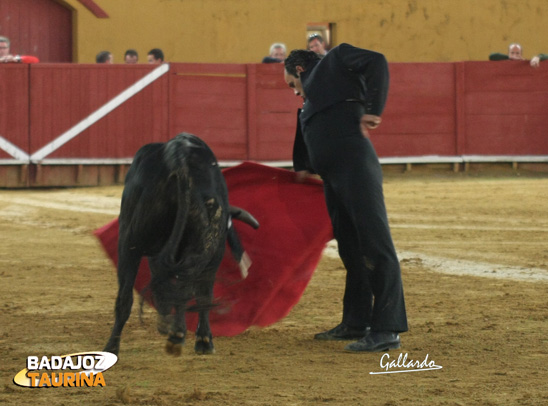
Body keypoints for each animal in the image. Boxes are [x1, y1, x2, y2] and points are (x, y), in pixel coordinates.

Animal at [104, 132, 260, 356]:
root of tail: (182, 160)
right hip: (204, 248)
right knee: (196, 291)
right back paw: (193, 339)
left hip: (131, 241)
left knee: (126, 297)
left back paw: (114, 346)